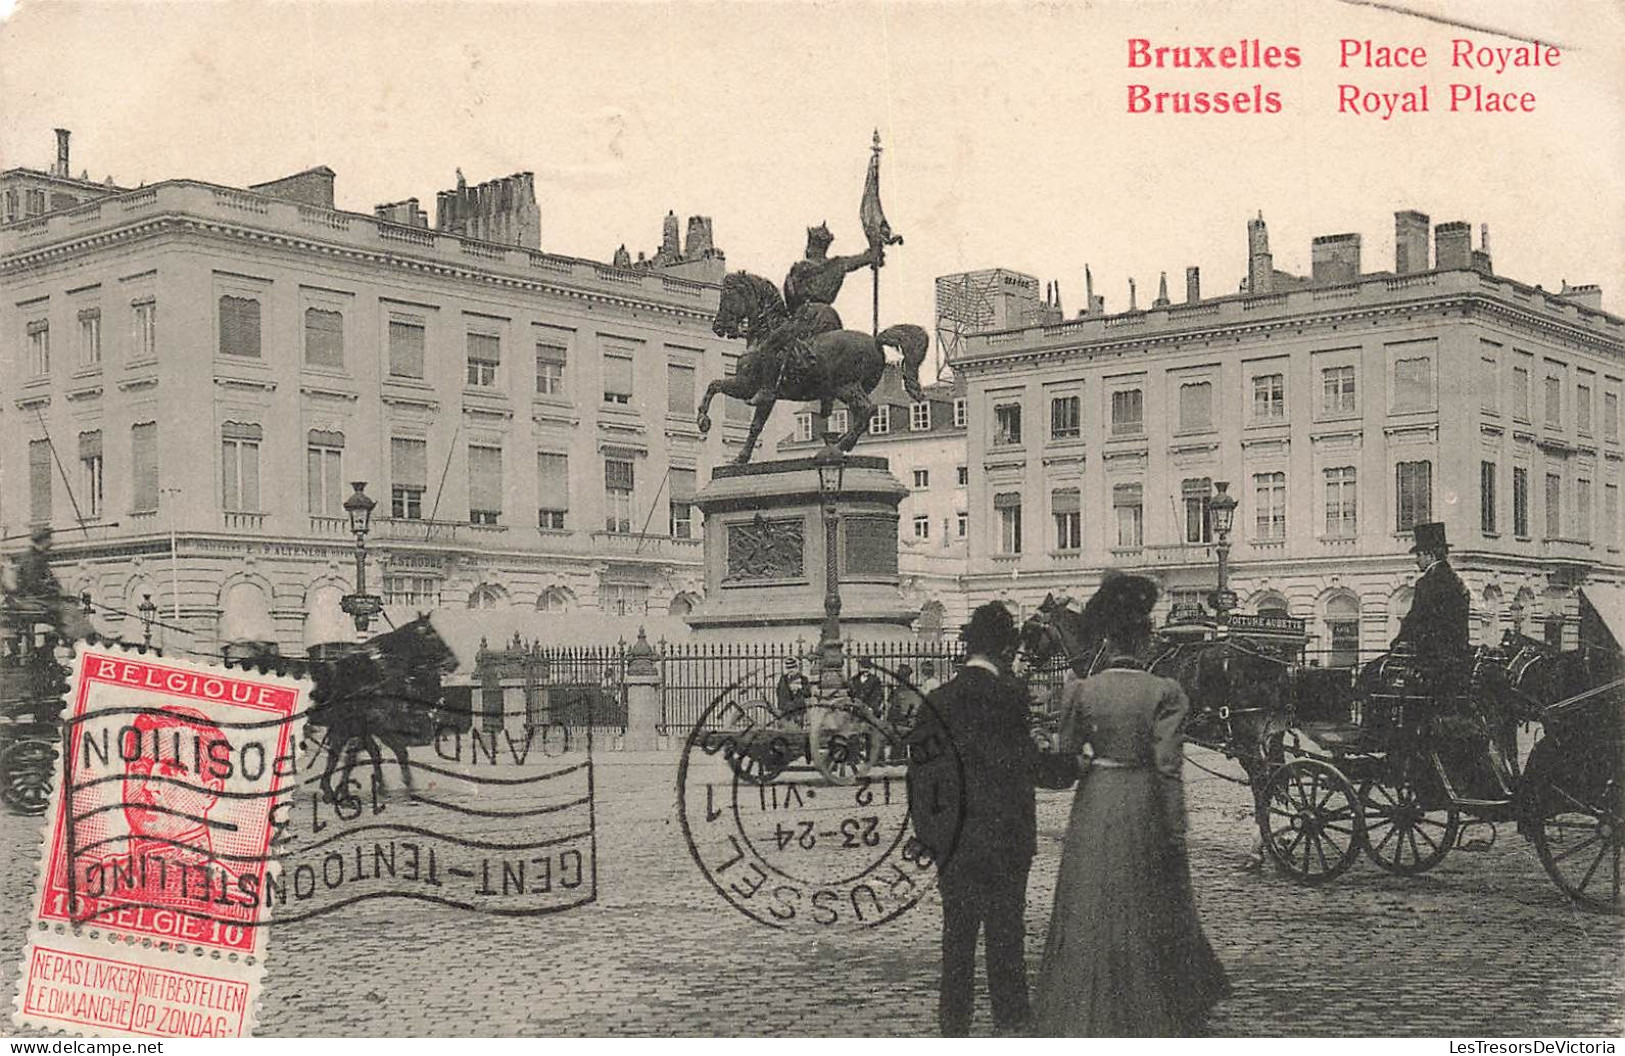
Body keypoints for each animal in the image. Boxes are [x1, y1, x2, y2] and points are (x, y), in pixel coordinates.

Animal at [307, 614, 461, 802]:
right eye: (431, 634)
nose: (453, 662)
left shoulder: (361, 726)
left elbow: (360, 754)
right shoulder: (367, 725)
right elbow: (386, 751)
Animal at [695, 269, 936, 458]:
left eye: (728, 294)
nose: (718, 326)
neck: (765, 334)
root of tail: (876, 341)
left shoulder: (750, 387)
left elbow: (724, 396)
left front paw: (709, 427)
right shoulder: (757, 392)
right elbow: (740, 411)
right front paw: (732, 449)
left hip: (847, 386)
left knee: (868, 409)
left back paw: (841, 444)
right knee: (862, 414)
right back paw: (843, 442)